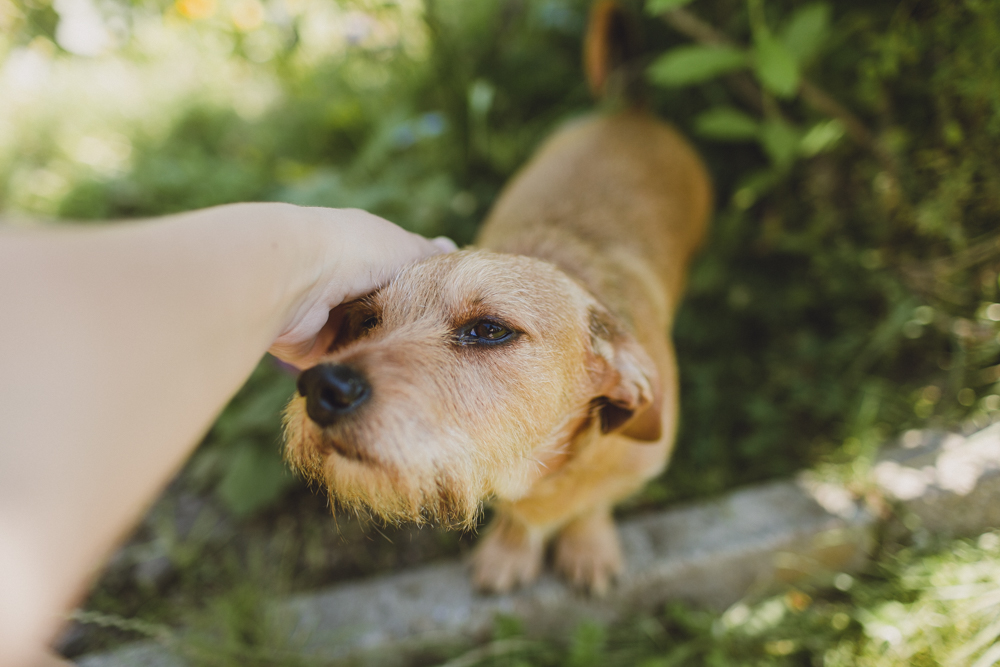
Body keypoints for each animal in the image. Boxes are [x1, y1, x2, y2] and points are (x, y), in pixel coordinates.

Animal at [284, 0, 712, 596]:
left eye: (489, 330)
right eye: (367, 321)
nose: (323, 387)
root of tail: (631, 109)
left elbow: (591, 504)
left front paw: (586, 542)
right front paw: (511, 547)